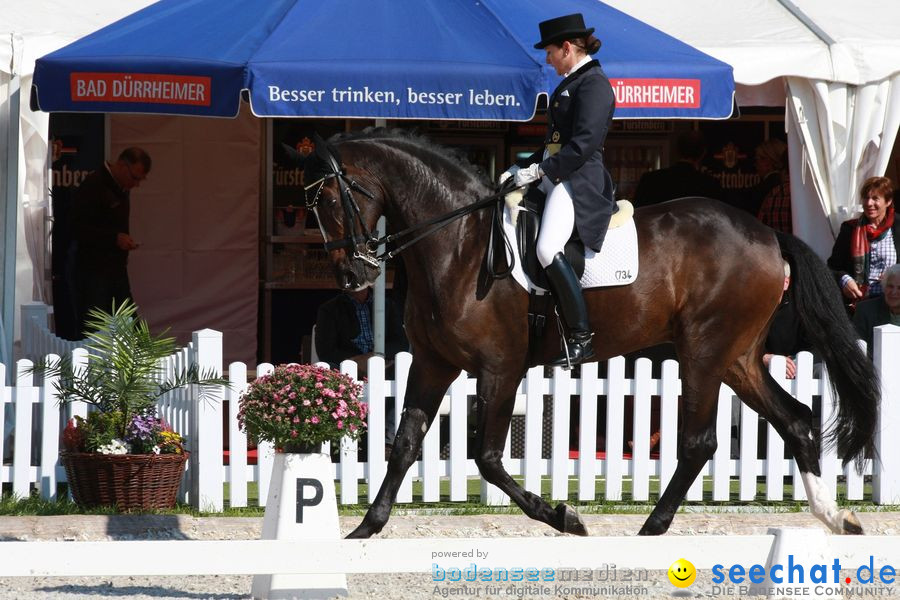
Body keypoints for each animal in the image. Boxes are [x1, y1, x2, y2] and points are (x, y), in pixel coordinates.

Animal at [304, 130, 880, 540]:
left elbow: (486, 458)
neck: (458, 244)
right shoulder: (432, 363)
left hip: (704, 351)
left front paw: (564, 517)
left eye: (330, 199)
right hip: (736, 357)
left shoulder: (499, 368)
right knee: (796, 420)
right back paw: (836, 516)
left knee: (700, 441)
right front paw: (364, 529)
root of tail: (767, 234)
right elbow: (404, 444)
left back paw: (652, 528)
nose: (353, 276)